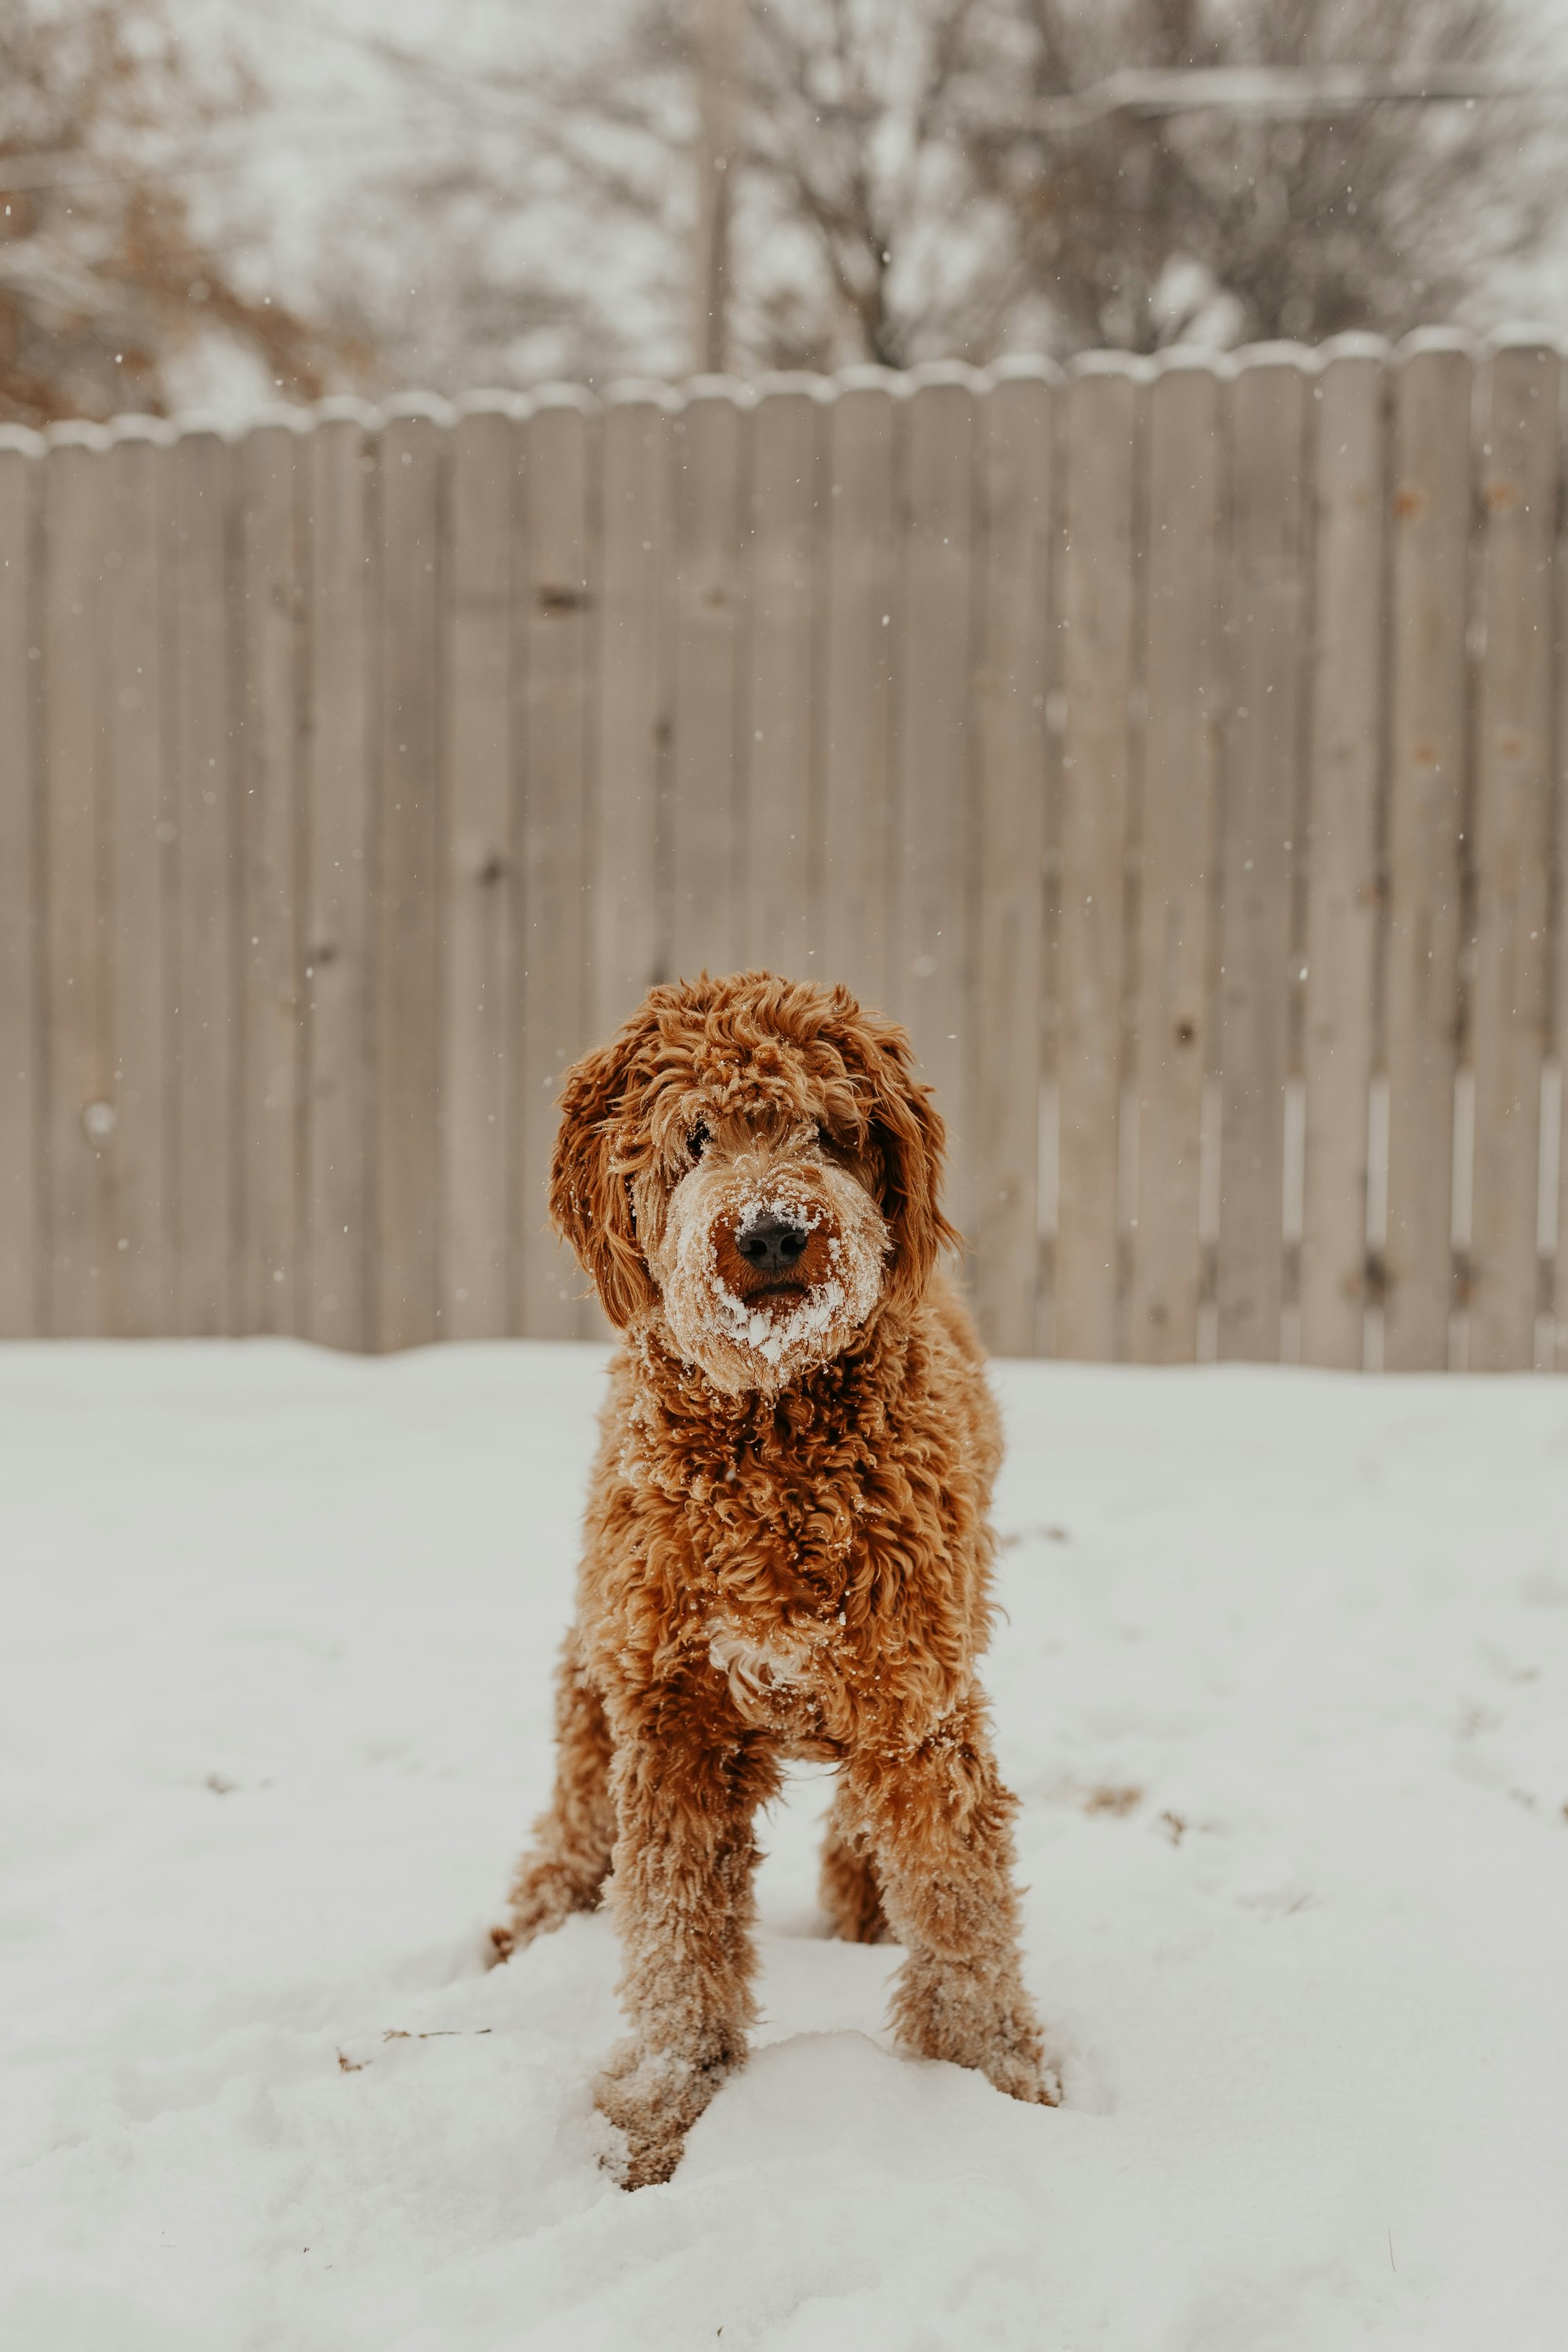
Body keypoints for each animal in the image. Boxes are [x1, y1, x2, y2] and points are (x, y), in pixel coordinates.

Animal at [491, 964, 1053, 2173]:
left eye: (829, 1131)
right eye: (694, 1137)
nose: (771, 1234)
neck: (772, 1435)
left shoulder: (917, 1703)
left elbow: (962, 1906)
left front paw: (996, 2079)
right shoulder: (673, 1718)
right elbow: (674, 1935)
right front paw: (663, 2099)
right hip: (601, 1646)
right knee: (575, 1788)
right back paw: (535, 1917)